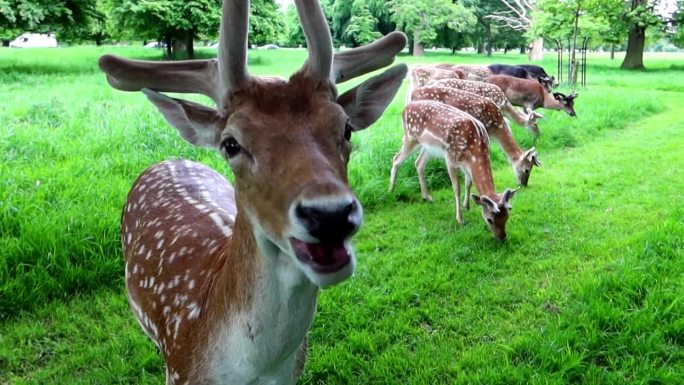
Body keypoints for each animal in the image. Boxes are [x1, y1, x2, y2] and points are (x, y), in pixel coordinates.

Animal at [388, 101, 516, 240]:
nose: (502, 238)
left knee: (418, 163)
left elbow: (468, 184)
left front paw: (467, 206)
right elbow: (456, 189)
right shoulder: (450, 160)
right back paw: (391, 190)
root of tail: (404, 109)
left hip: (428, 148)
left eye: (507, 217)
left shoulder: (467, 166)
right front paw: (460, 219)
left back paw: (426, 197)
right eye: (489, 219)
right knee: (396, 159)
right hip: (410, 137)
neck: (475, 149)